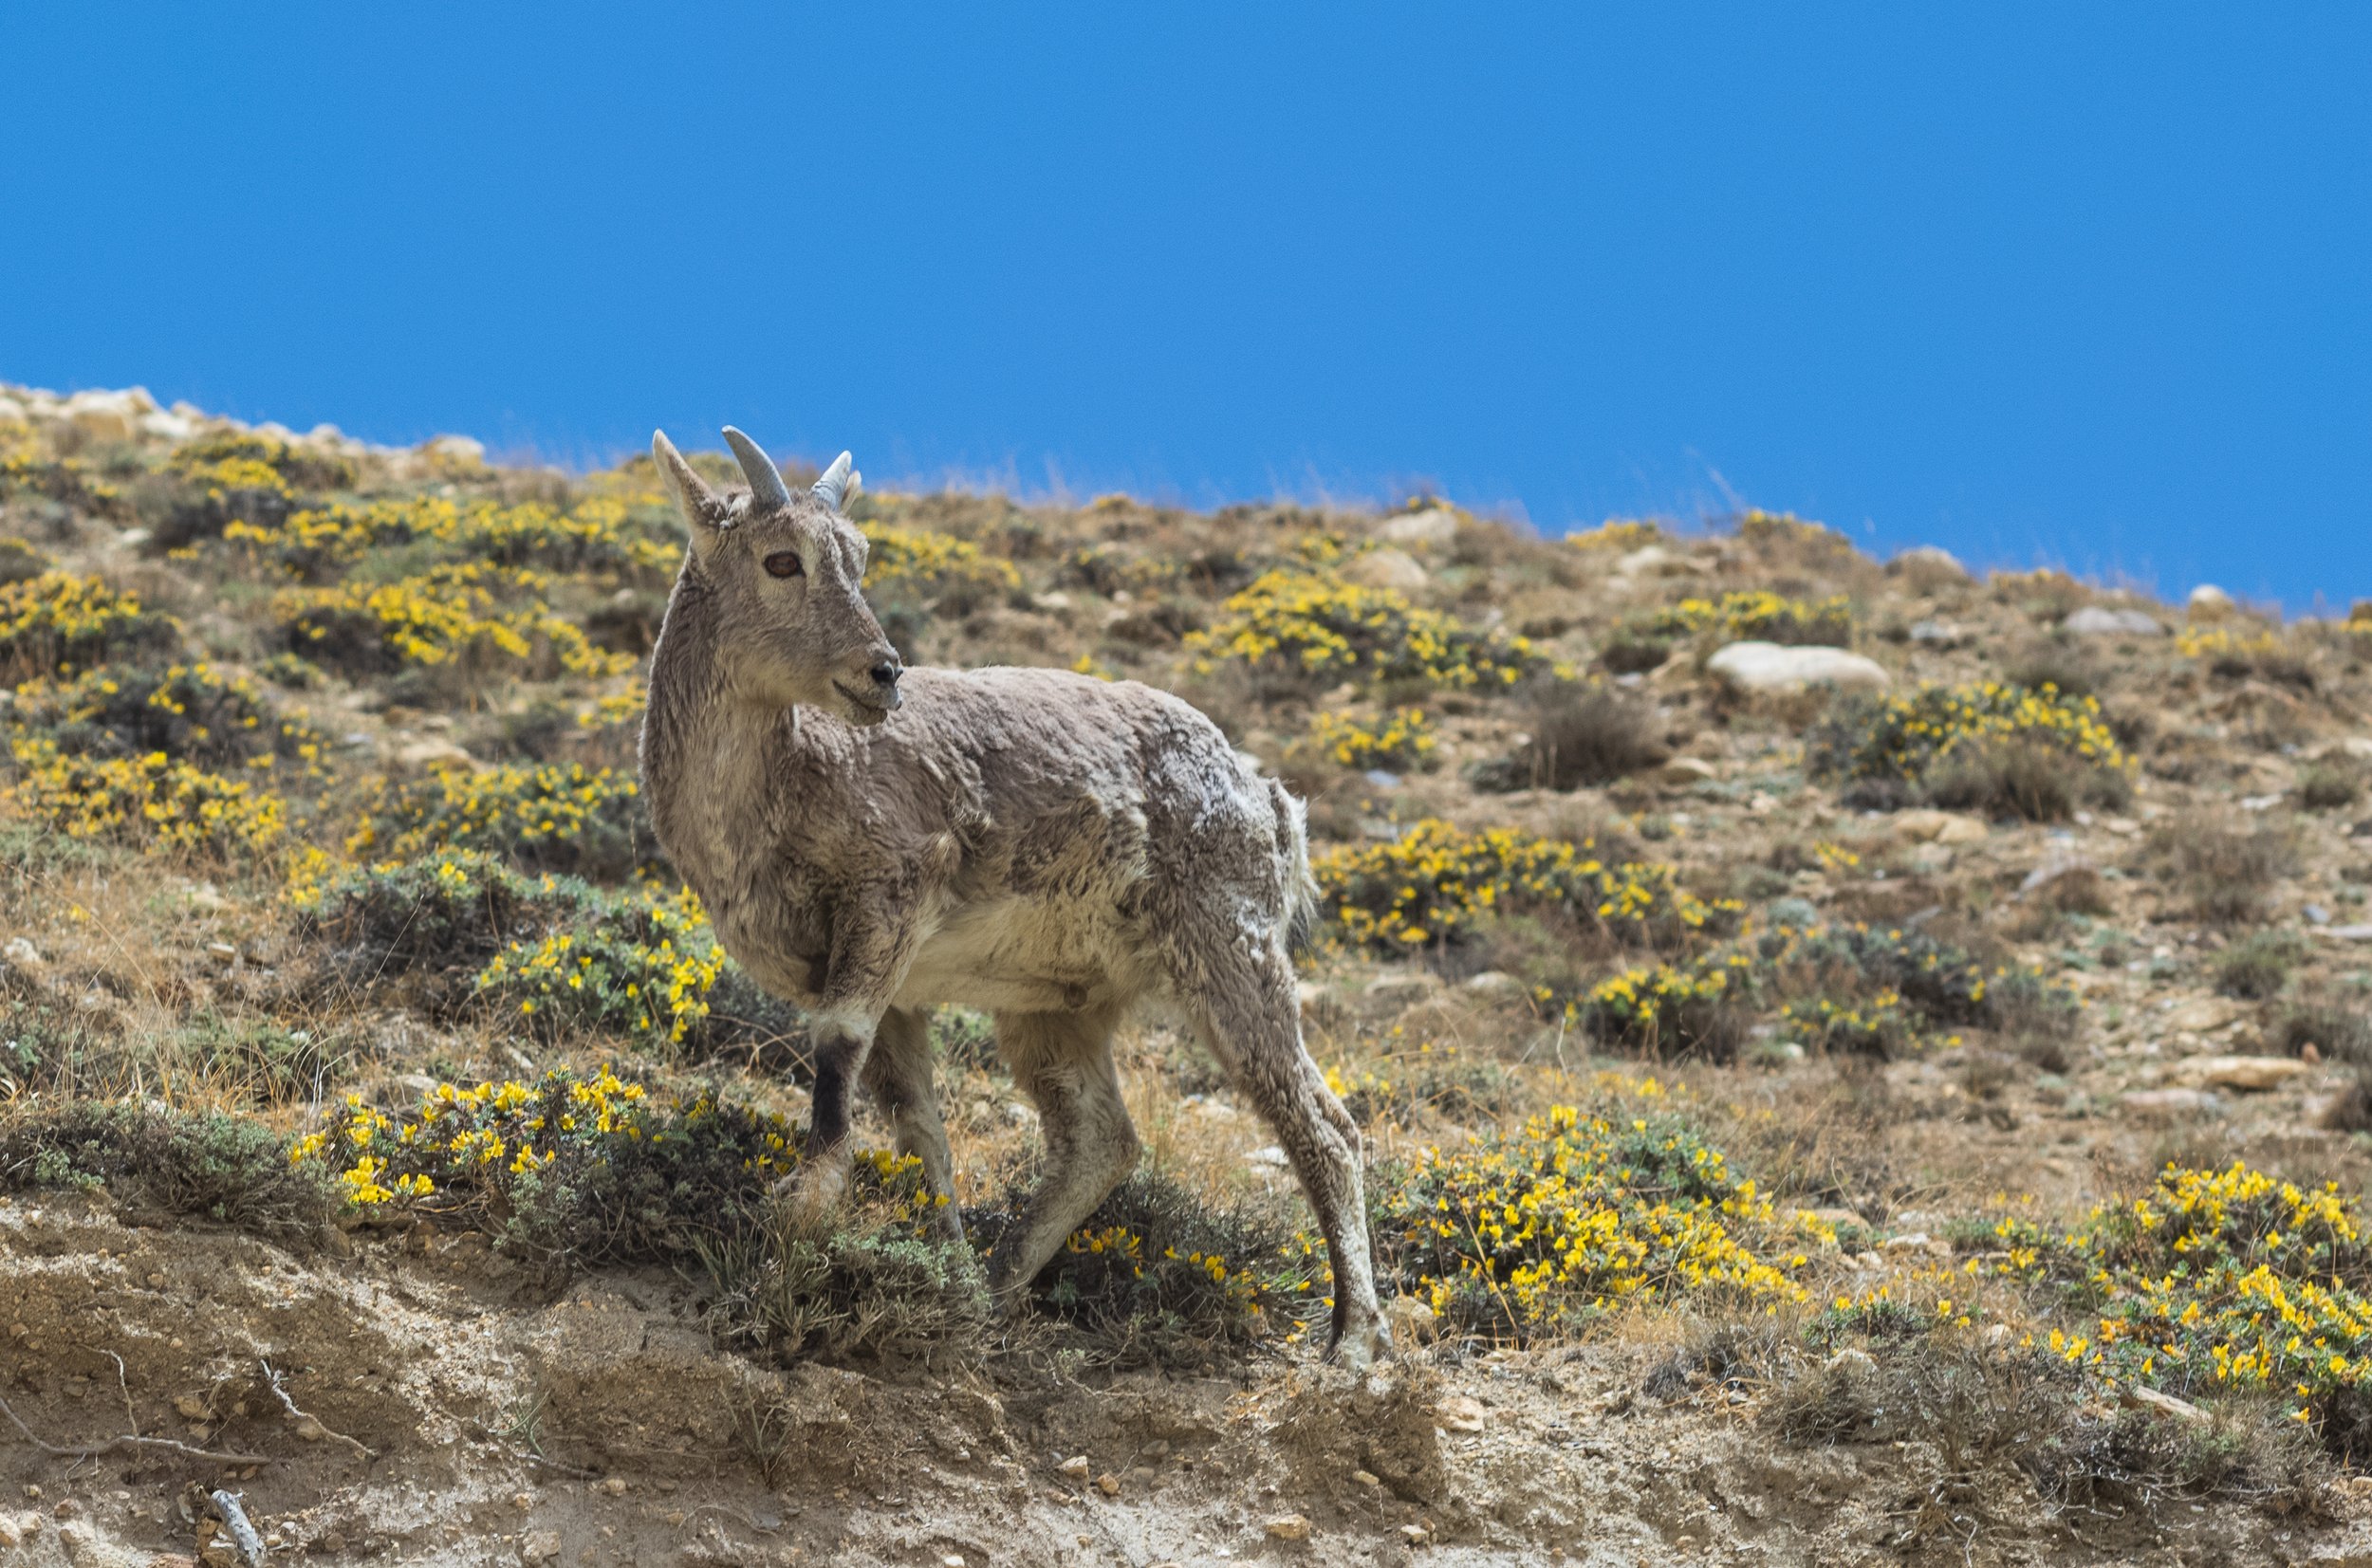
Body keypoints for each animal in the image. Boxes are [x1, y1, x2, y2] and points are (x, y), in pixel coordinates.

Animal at [638, 427, 1389, 1366]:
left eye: (859, 556)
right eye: (782, 560)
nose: (882, 673)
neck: (790, 775)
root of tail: (1268, 798)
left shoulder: (889, 901)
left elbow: (837, 1061)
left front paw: (804, 1212)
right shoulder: (887, 982)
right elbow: (920, 1126)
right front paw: (948, 1275)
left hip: (1230, 946)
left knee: (1325, 1127)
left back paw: (1355, 1335)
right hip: (1056, 1001)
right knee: (1102, 1139)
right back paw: (998, 1287)